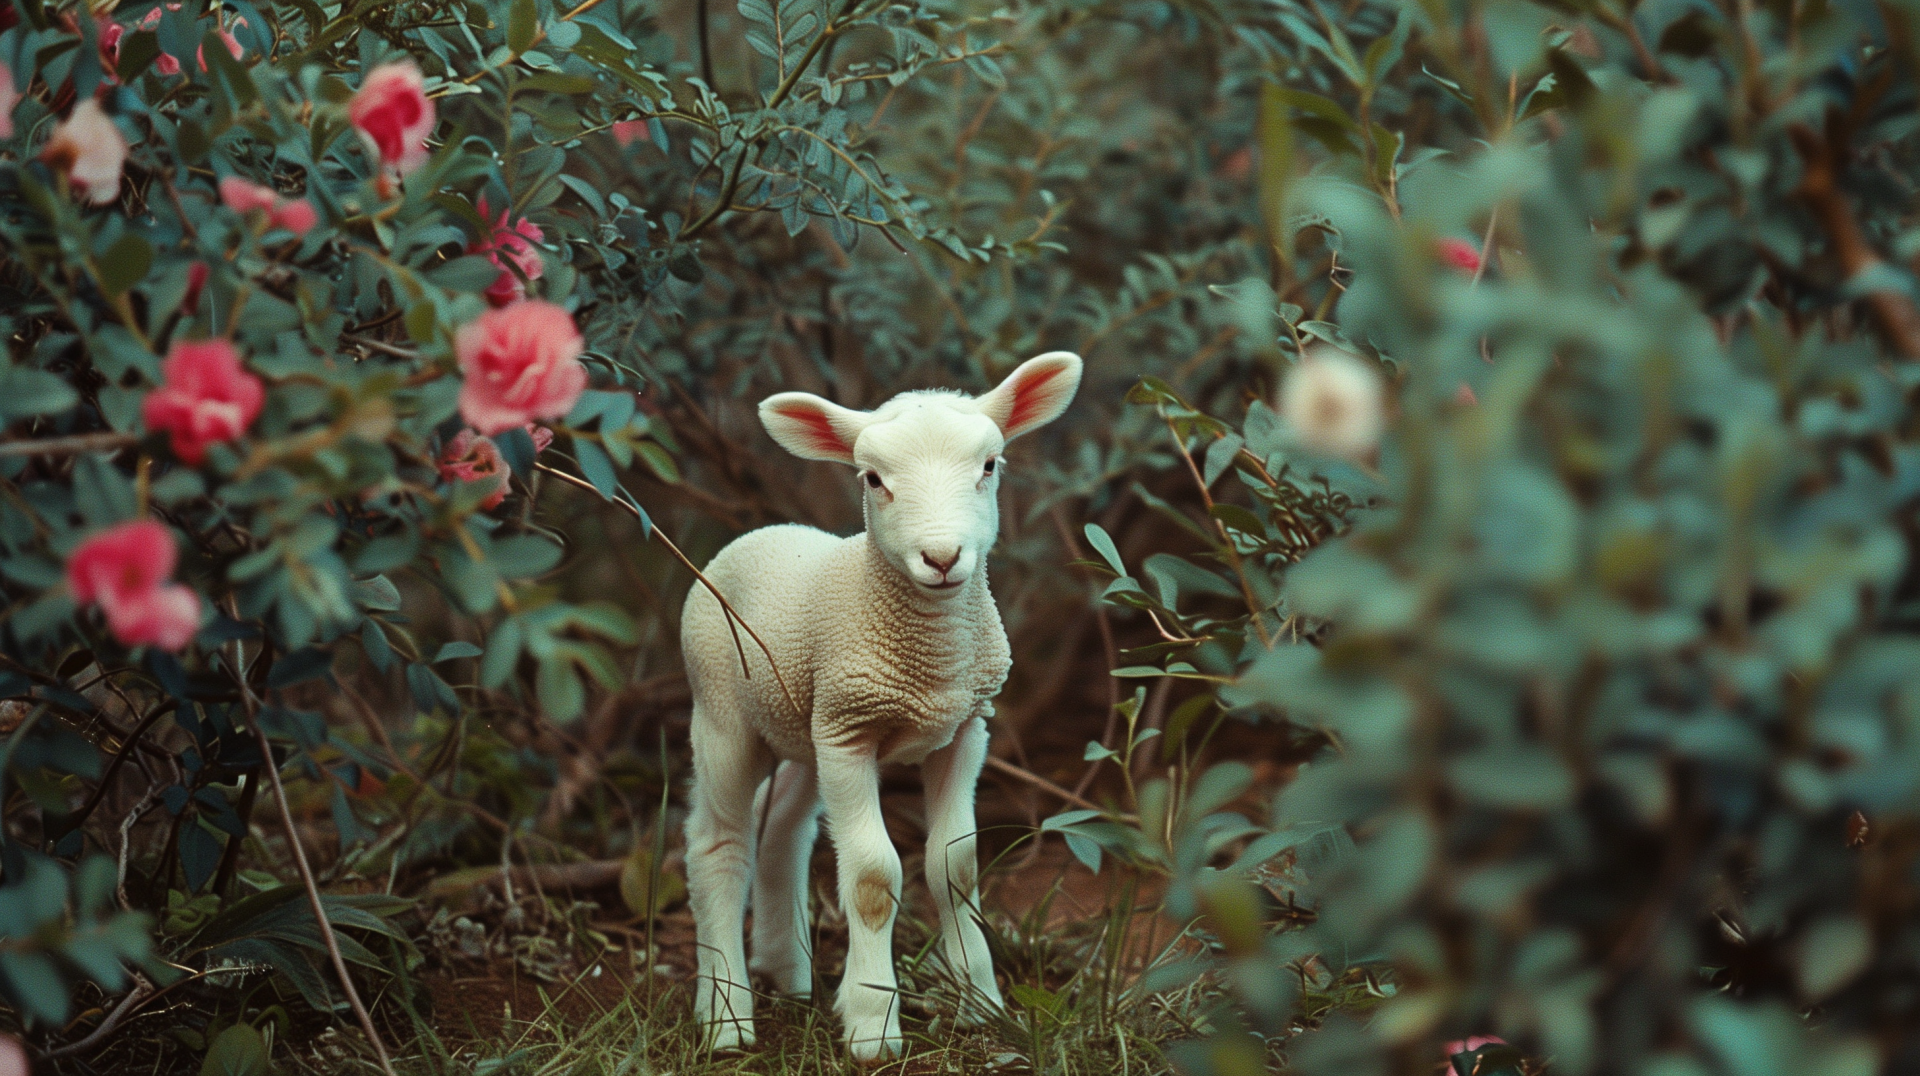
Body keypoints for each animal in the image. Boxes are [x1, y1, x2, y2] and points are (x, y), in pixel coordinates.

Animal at [678, 351, 1083, 1061]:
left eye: (989, 466)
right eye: (872, 478)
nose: (943, 557)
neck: (930, 663)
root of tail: (759, 533)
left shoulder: (963, 729)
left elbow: (956, 866)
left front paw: (981, 1002)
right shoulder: (852, 732)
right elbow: (871, 878)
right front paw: (873, 1024)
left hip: (805, 725)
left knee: (783, 828)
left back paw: (789, 973)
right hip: (723, 709)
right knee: (718, 845)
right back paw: (727, 1017)